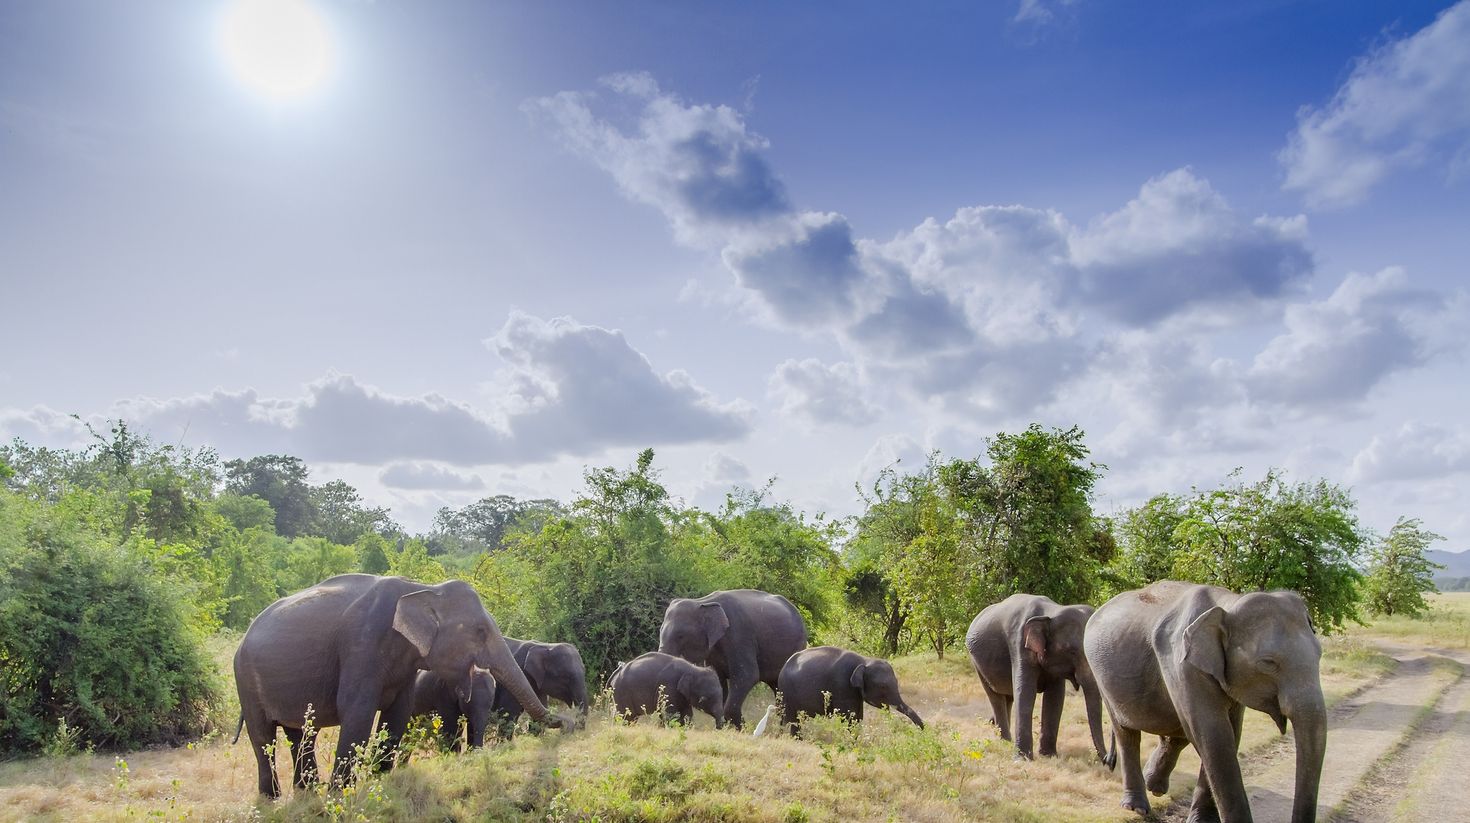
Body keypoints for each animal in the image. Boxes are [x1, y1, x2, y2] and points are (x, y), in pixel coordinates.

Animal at [232, 574, 568, 797]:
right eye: (480, 631)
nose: (568, 723)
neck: (422, 588)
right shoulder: (361, 645)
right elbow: (357, 711)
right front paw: (341, 793)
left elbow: (398, 714)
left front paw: (380, 781)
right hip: (245, 679)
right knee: (262, 737)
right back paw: (273, 798)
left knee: (302, 734)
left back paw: (307, 791)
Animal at [658, 588, 807, 729]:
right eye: (660, 631)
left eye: (680, 636)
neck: (702, 602)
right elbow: (719, 680)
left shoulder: (739, 634)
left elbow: (747, 675)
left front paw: (742, 729)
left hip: (797, 644)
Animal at [777, 646, 924, 736]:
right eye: (883, 686)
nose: (923, 732)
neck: (864, 660)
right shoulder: (842, 684)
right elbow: (848, 717)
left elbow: (858, 717)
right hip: (786, 693)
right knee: (792, 720)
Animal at [964, 593, 1110, 763]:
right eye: (1072, 651)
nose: (1107, 760)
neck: (1051, 612)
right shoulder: (1019, 645)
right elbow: (1025, 693)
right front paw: (1022, 759)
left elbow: (1055, 698)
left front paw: (1049, 756)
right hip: (977, 664)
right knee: (995, 697)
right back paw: (1005, 740)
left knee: (1008, 697)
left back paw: (999, 731)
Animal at [1084, 581, 1326, 823]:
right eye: (1268, 663)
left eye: (1319, 654)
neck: (1229, 604)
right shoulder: (1182, 664)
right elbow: (1215, 736)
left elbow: (1230, 732)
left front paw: (1202, 820)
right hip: (1101, 676)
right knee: (1127, 734)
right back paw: (1137, 807)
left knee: (1178, 731)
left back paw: (1154, 785)